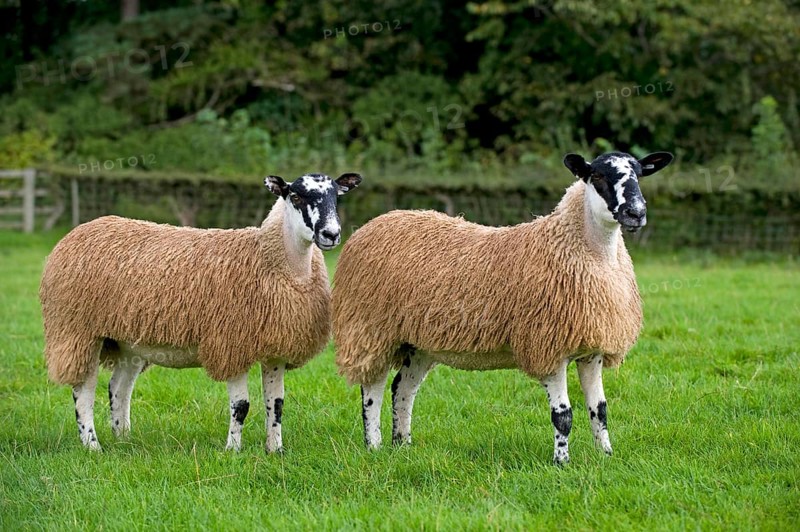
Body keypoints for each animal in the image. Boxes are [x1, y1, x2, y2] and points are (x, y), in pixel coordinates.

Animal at [40, 172, 362, 452]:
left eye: (337, 196)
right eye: (295, 196)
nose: (331, 234)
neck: (275, 261)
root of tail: (78, 231)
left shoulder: (275, 349)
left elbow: (277, 404)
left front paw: (275, 450)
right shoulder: (232, 344)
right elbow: (241, 406)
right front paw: (233, 451)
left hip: (128, 341)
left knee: (118, 388)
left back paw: (124, 439)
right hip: (77, 331)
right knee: (83, 391)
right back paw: (93, 445)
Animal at [332, 151, 672, 464]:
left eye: (640, 174)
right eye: (598, 176)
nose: (635, 213)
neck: (586, 251)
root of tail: (371, 225)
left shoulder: (592, 349)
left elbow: (599, 410)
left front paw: (606, 456)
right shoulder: (547, 347)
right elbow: (563, 415)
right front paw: (561, 463)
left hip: (419, 343)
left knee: (402, 389)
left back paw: (403, 445)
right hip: (370, 329)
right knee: (372, 389)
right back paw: (374, 446)